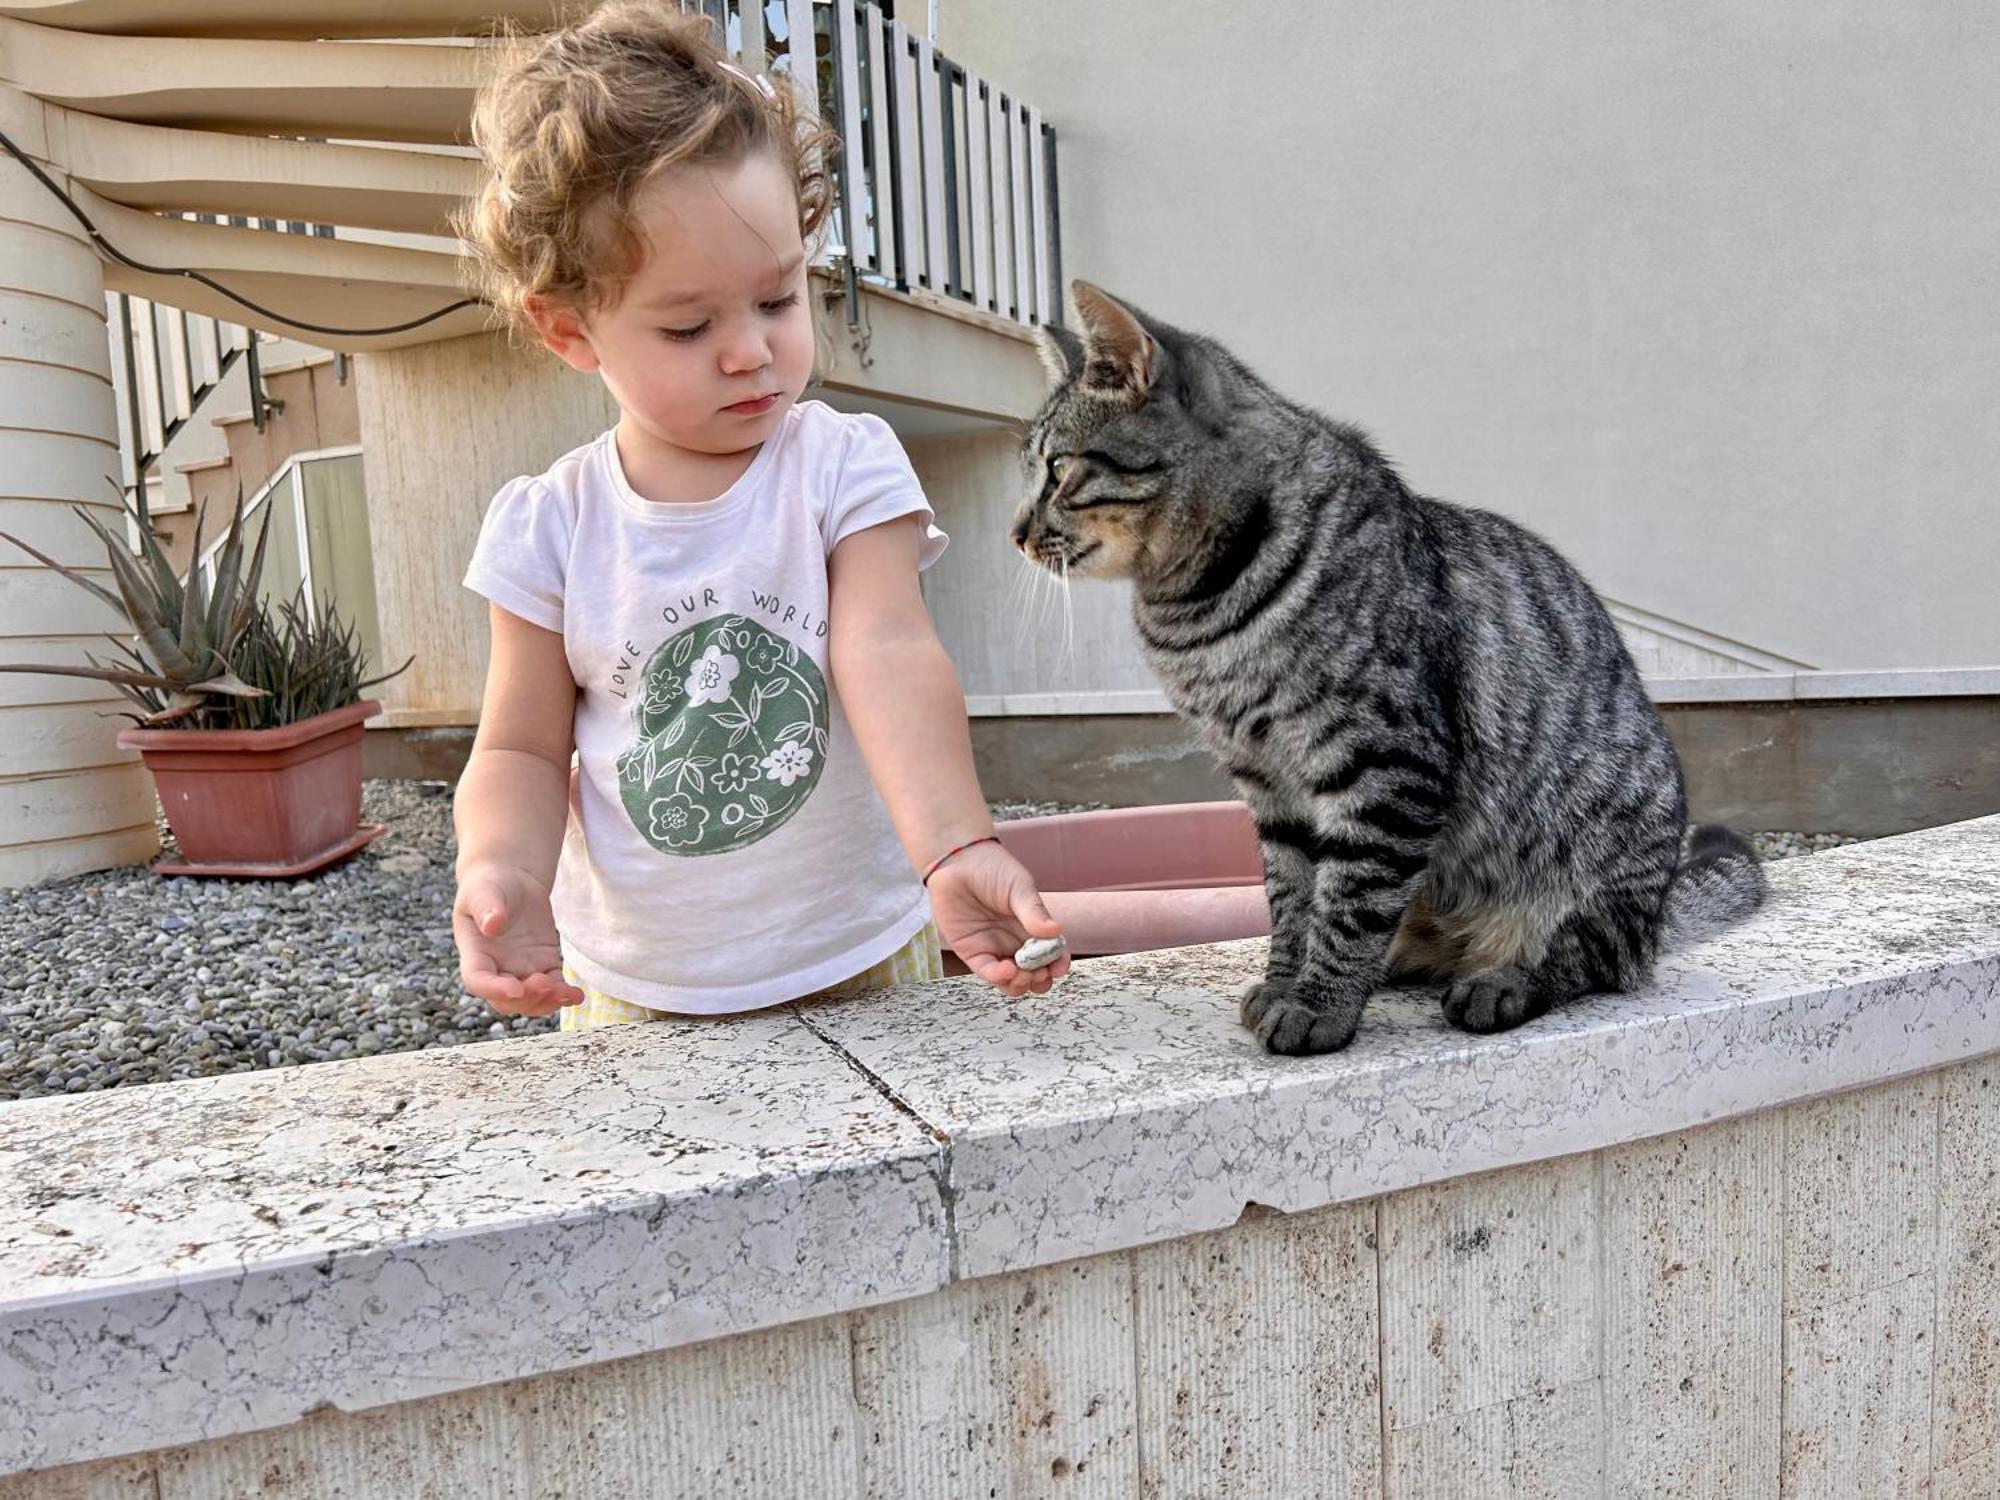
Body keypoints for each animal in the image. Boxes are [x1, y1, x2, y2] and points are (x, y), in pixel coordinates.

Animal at [1016, 282, 1768, 1056]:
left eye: (1056, 469)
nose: (1016, 532)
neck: (1196, 611)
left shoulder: (1385, 762)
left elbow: (1352, 897)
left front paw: (1319, 1003)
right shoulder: (1268, 783)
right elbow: (1293, 895)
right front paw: (1288, 981)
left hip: (1603, 847)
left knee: (1590, 955)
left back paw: (1501, 981)